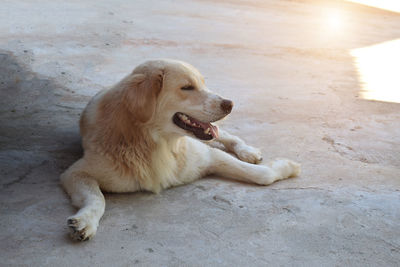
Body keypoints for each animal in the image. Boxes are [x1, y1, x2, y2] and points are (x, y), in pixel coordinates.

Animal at [61, 59, 300, 242]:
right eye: (187, 87)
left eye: (203, 83)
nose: (230, 104)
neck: (157, 143)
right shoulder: (76, 172)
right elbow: (97, 198)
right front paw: (85, 222)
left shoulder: (208, 156)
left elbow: (262, 174)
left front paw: (287, 167)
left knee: (228, 136)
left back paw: (247, 151)